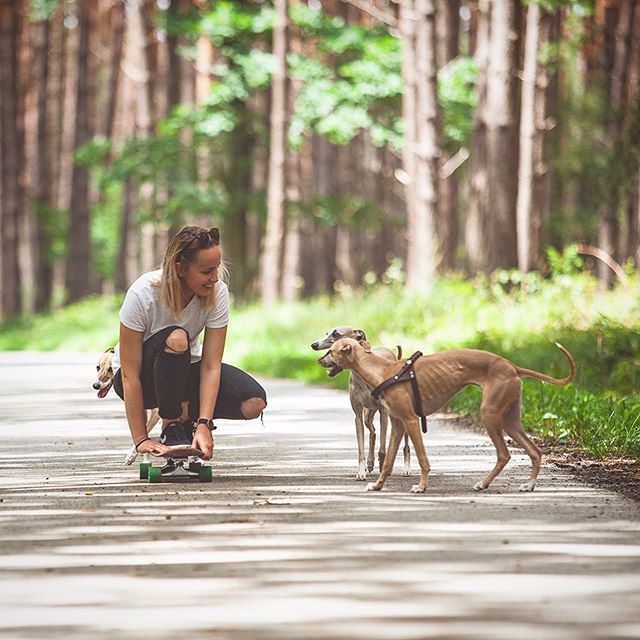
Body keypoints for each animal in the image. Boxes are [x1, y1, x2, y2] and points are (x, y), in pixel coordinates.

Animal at [310, 330, 410, 480]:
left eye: (331, 351)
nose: (319, 360)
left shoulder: (383, 414)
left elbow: (383, 449)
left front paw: (383, 468)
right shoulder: (358, 416)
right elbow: (361, 448)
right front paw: (361, 472)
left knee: (405, 444)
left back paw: (406, 469)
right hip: (368, 415)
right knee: (373, 433)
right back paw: (370, 462)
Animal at [324, 340, 576, 496]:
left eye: (331, 350)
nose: (318, 360)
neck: (385, 370)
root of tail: (511, 365)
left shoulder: (411, 421)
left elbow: (423, 459)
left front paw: (421, 487)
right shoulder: (397, 425)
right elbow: (387, 463)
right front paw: (377, 486)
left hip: (490, 414)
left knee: (504, 454)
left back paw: (483, 484)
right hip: (510, 420)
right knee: (535, 451)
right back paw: (529, 485)